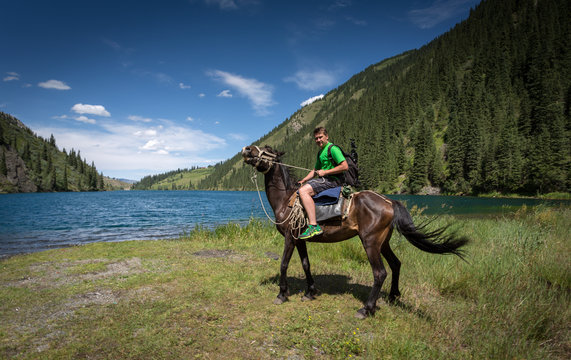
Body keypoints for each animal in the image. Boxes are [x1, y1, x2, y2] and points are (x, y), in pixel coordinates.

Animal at [241, 143, 470, 318]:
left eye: (267, 150)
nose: (247, 149)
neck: (286, 199)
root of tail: (389, 201)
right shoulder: (301, 239)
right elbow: (306, 264)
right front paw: (310, 292)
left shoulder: (290, 237)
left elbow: (283, 264)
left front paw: (282, 294)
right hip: (383, 243)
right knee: (396, 264)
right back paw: (393, 296)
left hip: (370, 242)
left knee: (380, 273)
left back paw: (367, 309)